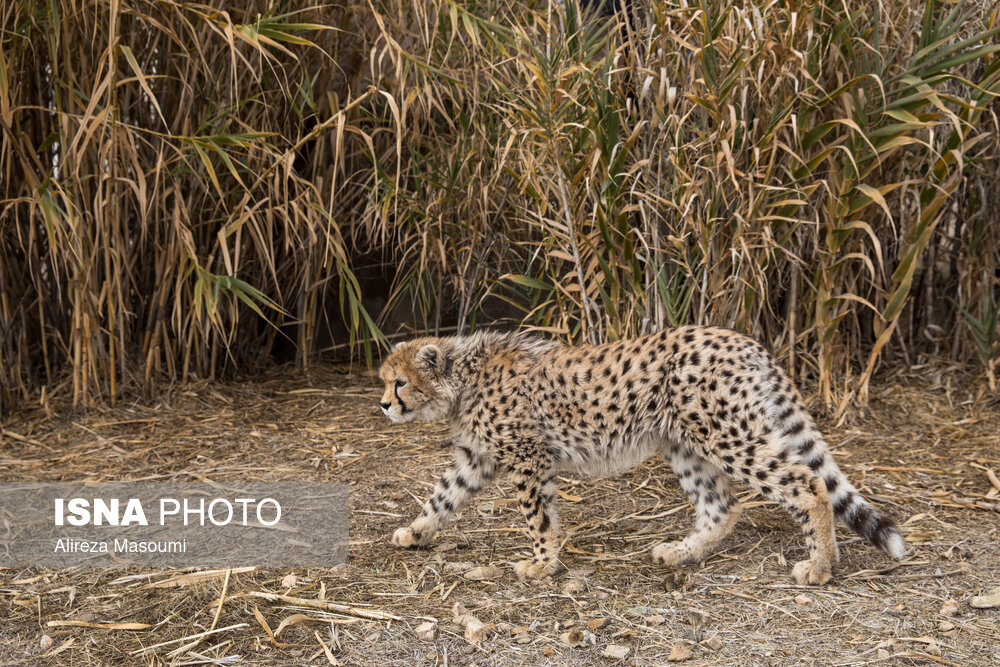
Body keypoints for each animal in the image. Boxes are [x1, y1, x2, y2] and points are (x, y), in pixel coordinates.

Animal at [376, 328, 908, 584]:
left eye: (399, 382)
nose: (383, 404)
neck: (463, 377)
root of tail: (743, 339)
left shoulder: (529, 459)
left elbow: (538, 518)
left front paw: (542, 565)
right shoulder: (477, 459)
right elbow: (442, 498)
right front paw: (414, 532)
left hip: (728, 436)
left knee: (808, 484)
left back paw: (820, 567)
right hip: (686, 443)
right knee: (722, 505)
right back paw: (682, 552)